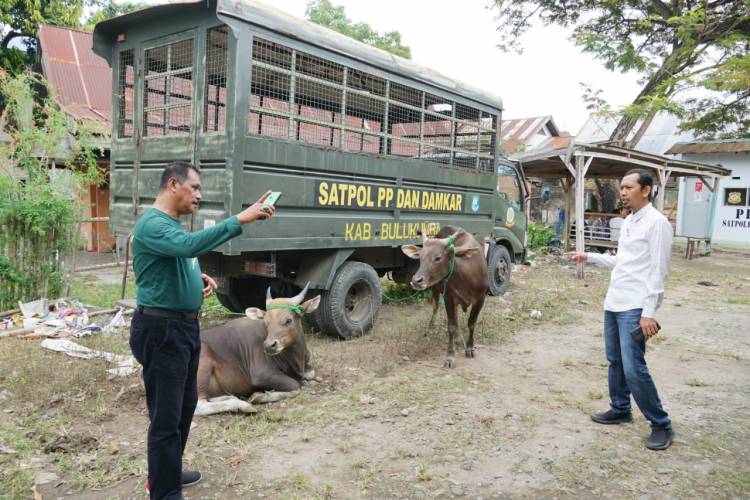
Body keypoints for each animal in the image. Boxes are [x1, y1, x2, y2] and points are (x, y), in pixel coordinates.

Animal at [194, 284, 320, 416]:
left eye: (288, 320)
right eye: (266, 322)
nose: (269, 345)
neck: (296, 357)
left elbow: (311, 373)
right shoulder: (261, 375)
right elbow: (296, 386)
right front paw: (260, 396)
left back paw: (231, 397)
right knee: (200, 405)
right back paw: (242, 405)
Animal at [402, 227, 490, 368]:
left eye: (438, 257)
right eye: (420, 257)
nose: (416, 281)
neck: (468, 276)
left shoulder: (480, 299)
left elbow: (471, 323)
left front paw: (470, 348)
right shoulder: (449, 297)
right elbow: (451, 326)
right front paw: (450, 357)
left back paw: (459, 340)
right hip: (436, 289)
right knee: (435, 308)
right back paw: (431, 330)